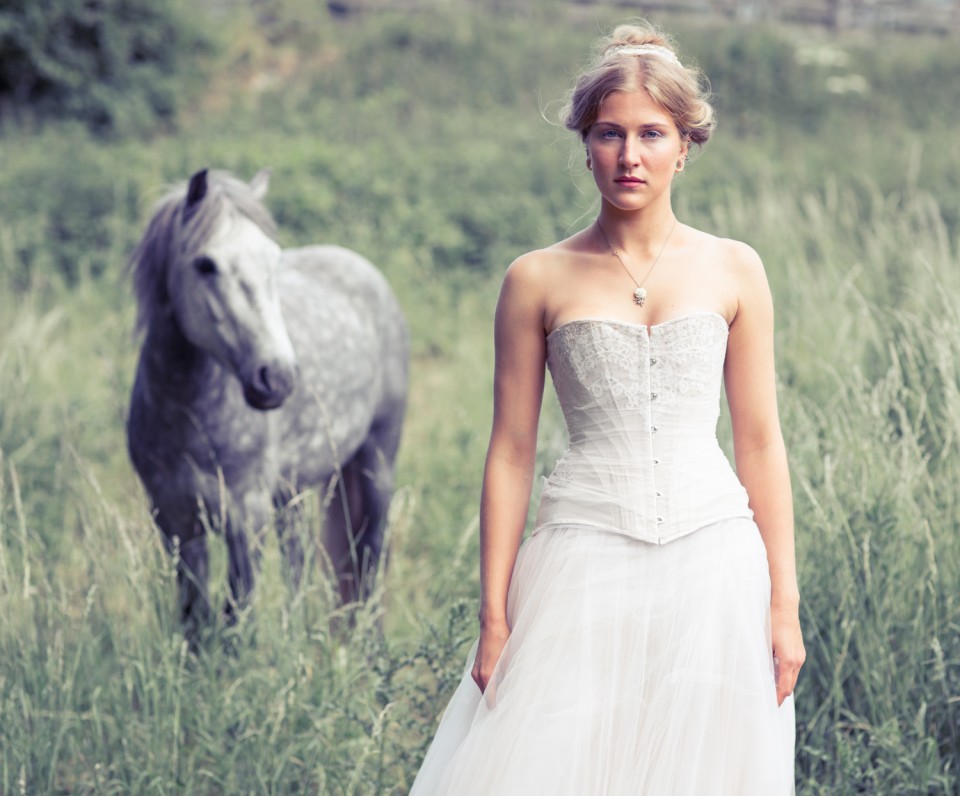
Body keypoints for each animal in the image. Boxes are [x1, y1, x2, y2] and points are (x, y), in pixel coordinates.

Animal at [126, 169, 404, 636]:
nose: (278, 378)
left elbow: (236, 615)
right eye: (205, 265)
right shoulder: (175, 521)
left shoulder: (245, 519)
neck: (187, 419)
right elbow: (194, 617)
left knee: (369, 557)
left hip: (376, 462)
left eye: (274, 261)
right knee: (299, 560)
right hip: (291, 492)